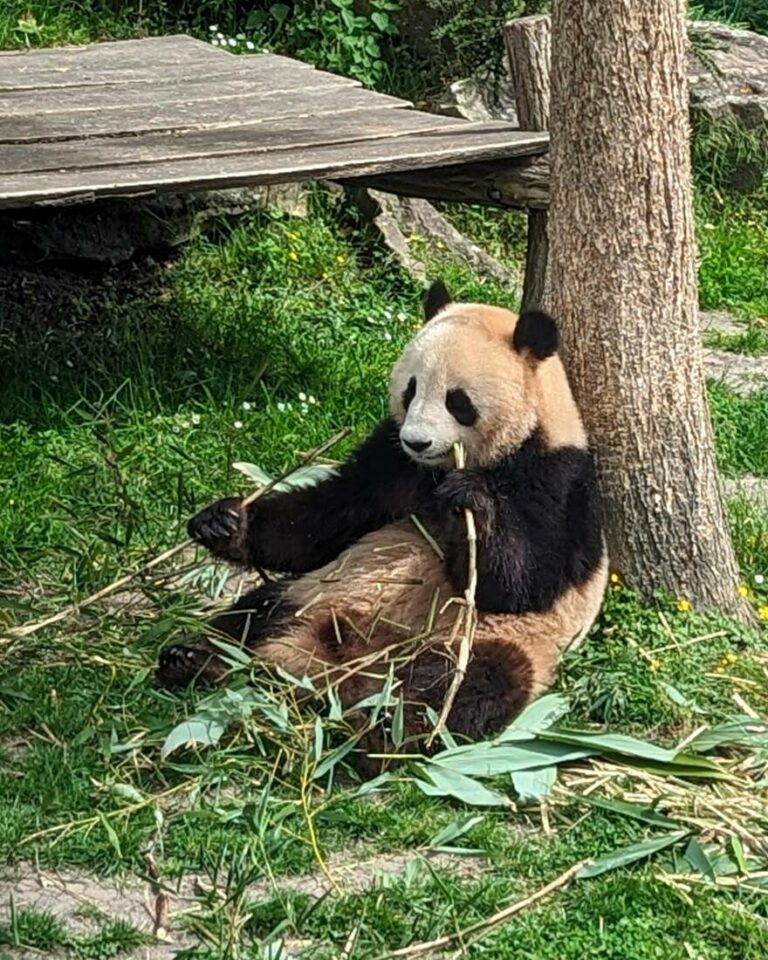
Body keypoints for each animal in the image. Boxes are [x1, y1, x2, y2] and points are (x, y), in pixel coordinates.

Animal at [159, 282, 608, 752]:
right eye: (411, 390)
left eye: (457, 401)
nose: (418, 441)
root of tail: (334, 668)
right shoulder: (389, 460)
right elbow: (322, 519)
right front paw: (223, 523)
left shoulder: (558, 480)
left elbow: (521, 583)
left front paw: (470, 501)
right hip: (314, 594)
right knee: (252, 617)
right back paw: (196, 660)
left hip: (485, 640)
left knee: (460, 687)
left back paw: (377, 738)